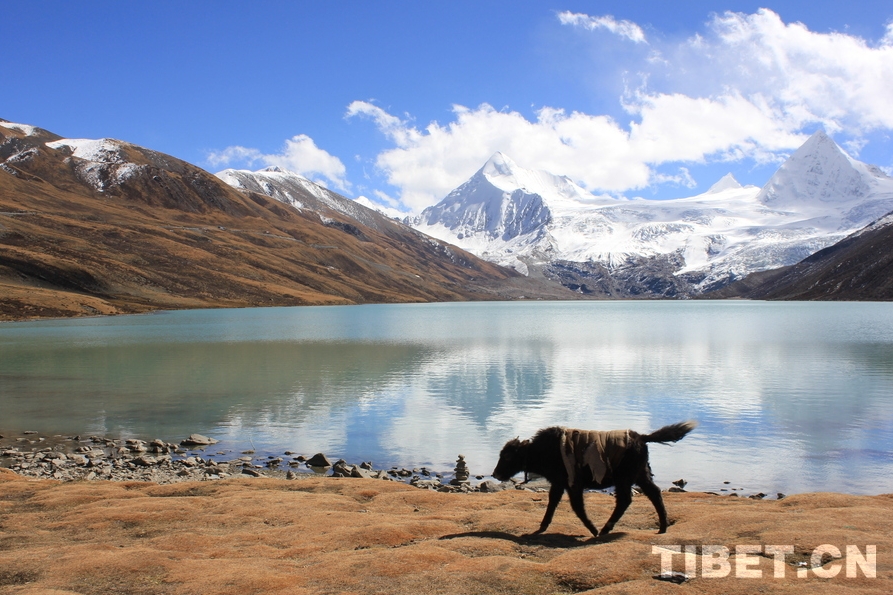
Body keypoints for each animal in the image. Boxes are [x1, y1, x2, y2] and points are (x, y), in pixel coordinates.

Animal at [492, 422, 692, 536]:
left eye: (508, 456)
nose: (496, 474)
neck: (541, 450)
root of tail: (642, 438)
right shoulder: (559, 484)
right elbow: (552, 502)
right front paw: (542, 527)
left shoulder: (573, 484)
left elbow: (577, 507)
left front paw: (592, 530)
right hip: (640, 475)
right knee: (654, 493)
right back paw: (662, 528)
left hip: (624, 479)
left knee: (625, 500)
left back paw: (603, 530)